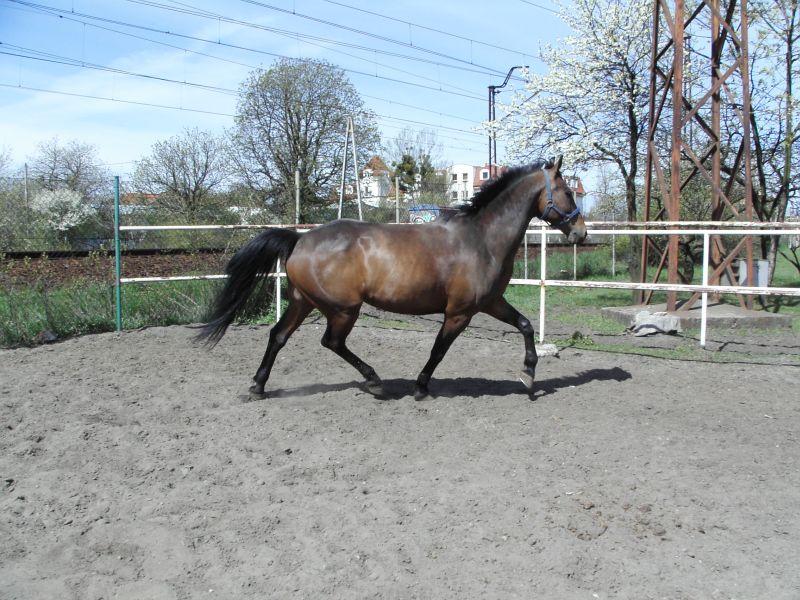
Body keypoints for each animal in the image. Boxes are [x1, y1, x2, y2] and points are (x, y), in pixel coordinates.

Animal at [198, 155, 588, 400]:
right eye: (569, 192)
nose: (581, 233)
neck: (481, 239)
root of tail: (300, 239)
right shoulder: (459, 312)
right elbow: (438, 350)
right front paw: (421, 387)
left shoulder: (491, 302)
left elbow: (525, 325)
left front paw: (528, 374)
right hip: (343, 309)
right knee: (331, 342)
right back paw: (375, 382)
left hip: (303, 301)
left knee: (278, 336)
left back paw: (258, 387)